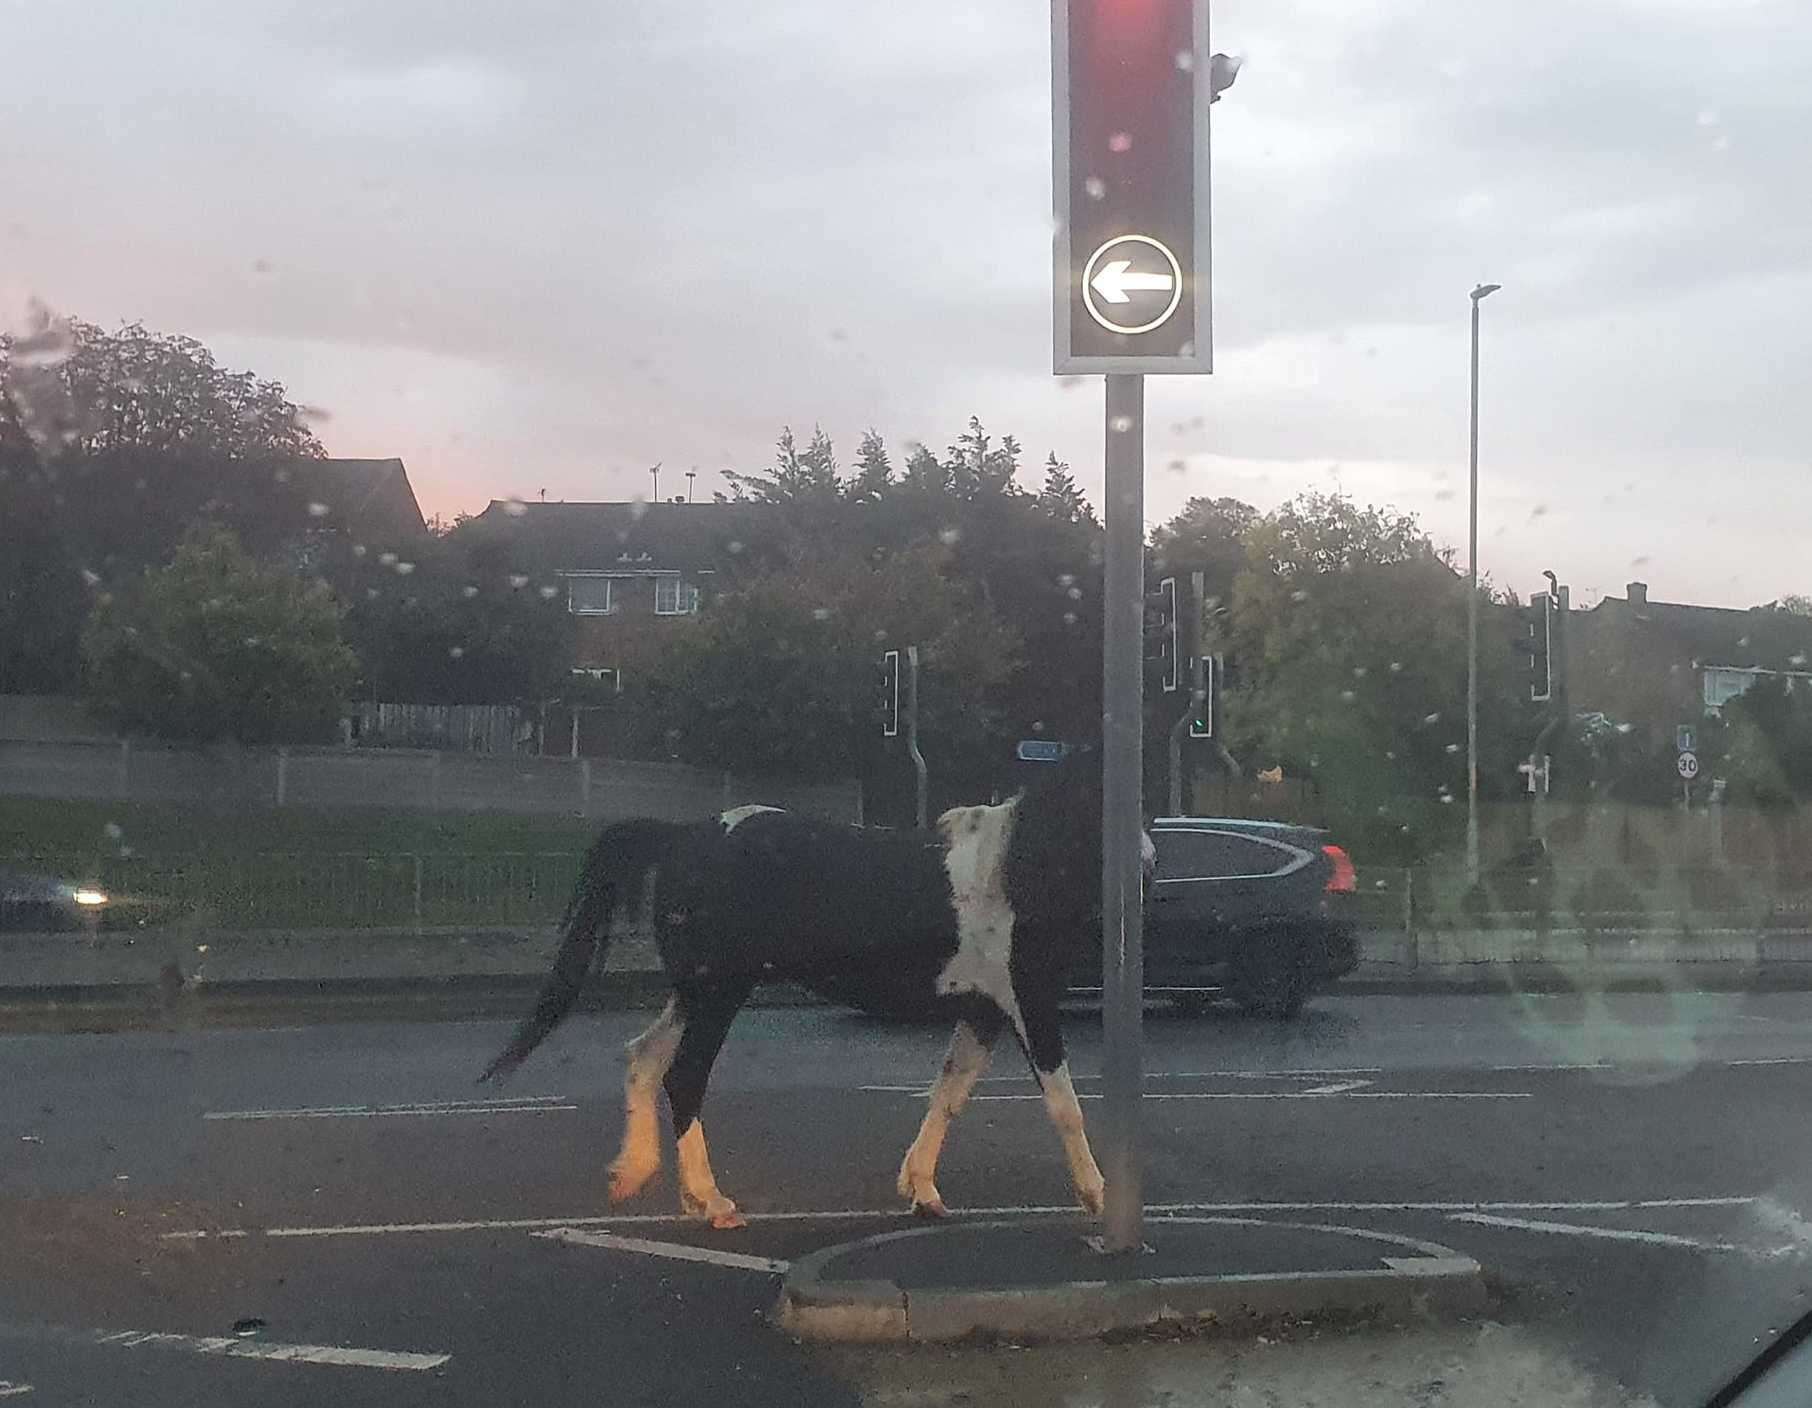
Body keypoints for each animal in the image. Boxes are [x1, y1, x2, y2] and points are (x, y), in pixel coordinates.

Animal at [478, 753, 1145, 1224]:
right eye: (1102, 797)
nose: (1147, 863)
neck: (1010, 870)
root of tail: (684, 835)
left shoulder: (983, 1012)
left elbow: (949, 1094)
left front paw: (922, 1190)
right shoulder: (1028, 1003)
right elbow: (1064, 1104)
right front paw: (1097, 1196)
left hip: (696, 992)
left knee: (644, 1057)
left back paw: (636, 1174)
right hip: (720, 993)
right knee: (683, 1076)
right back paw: (711, 1201)